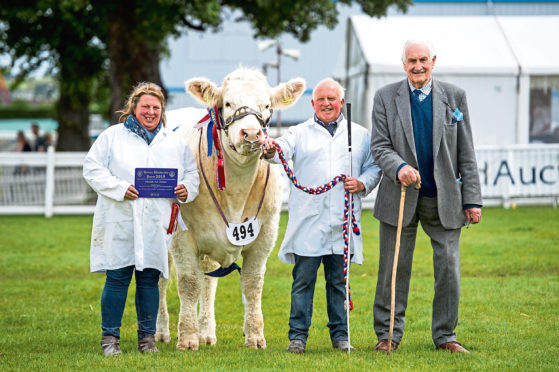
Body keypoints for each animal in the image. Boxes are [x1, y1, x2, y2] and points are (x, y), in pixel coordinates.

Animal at [156, 68, 306, 350]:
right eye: (227, 103)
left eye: (266, 105)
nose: (251, 134)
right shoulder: (181, 236)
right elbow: (188, 283)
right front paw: (187, 337)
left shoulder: (265, 235)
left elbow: (252, 283)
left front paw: (255, 335)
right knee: (162, 279)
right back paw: (161, 331)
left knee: (208, 279)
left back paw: (206, 332)